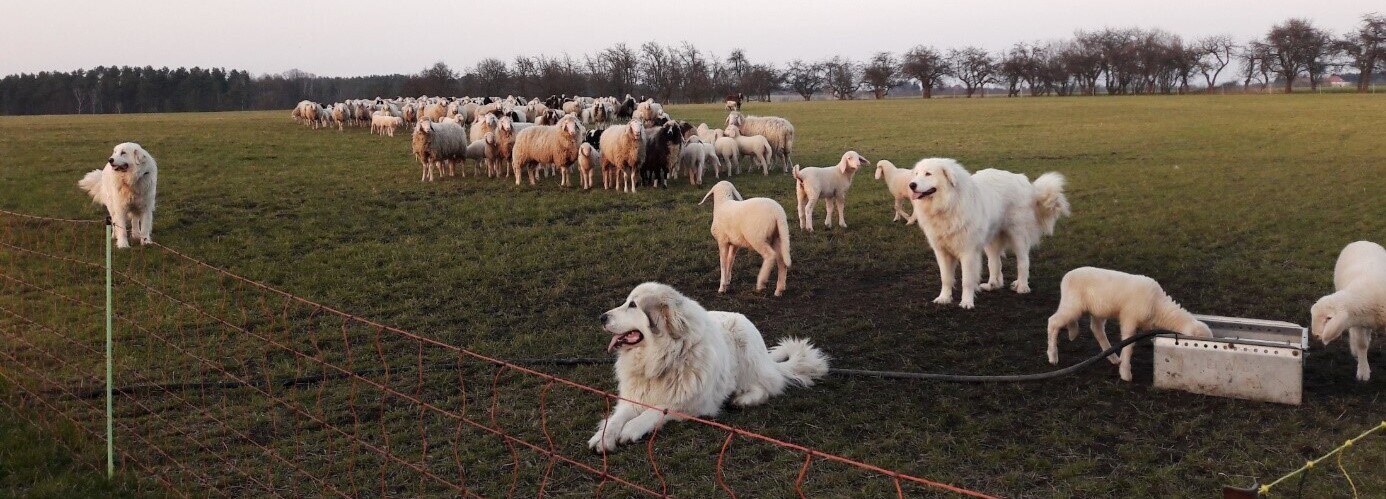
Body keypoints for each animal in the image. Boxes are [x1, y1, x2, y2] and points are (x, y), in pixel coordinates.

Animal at [590, 282, 826, 454]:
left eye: (633, 305)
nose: (601, 317)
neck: (660, 360)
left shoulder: (691, 405)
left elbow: (657, 410)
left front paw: (632, 428)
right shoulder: (634, 397)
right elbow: (617, 417)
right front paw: (604, 436)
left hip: (747, 353)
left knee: (769, 386)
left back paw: (743, 399)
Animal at [909, 158, 1069, 307]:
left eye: (928, 174)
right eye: (916, 174)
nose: (911, 185)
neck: (949, 203)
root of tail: (1023, 181)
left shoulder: (968, 252)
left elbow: (967, 280)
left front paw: (966, 302)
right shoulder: (942, 252)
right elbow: (946, 278)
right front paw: (944, 298)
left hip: (1018, 236)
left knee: (1023, 262)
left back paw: (1022, 286)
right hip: (991, 241)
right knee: (995, 263)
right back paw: (992, 285)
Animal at [1042, 268, 1208, 382]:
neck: (1159, 307)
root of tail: (1066, 276)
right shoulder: (1130, 318)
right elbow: (1128, 343)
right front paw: (1126, 373)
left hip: (1097, 310)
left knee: (1096, 329)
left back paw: (1112, 357)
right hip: (1072, 305)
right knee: (1053, 321)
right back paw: (1052, 355)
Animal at [1308, 241, 1386, 382]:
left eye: (1328, 318)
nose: (1315, 335)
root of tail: (1362, 241)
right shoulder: (1359, 323)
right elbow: (1362, 345)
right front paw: (1363, 371)